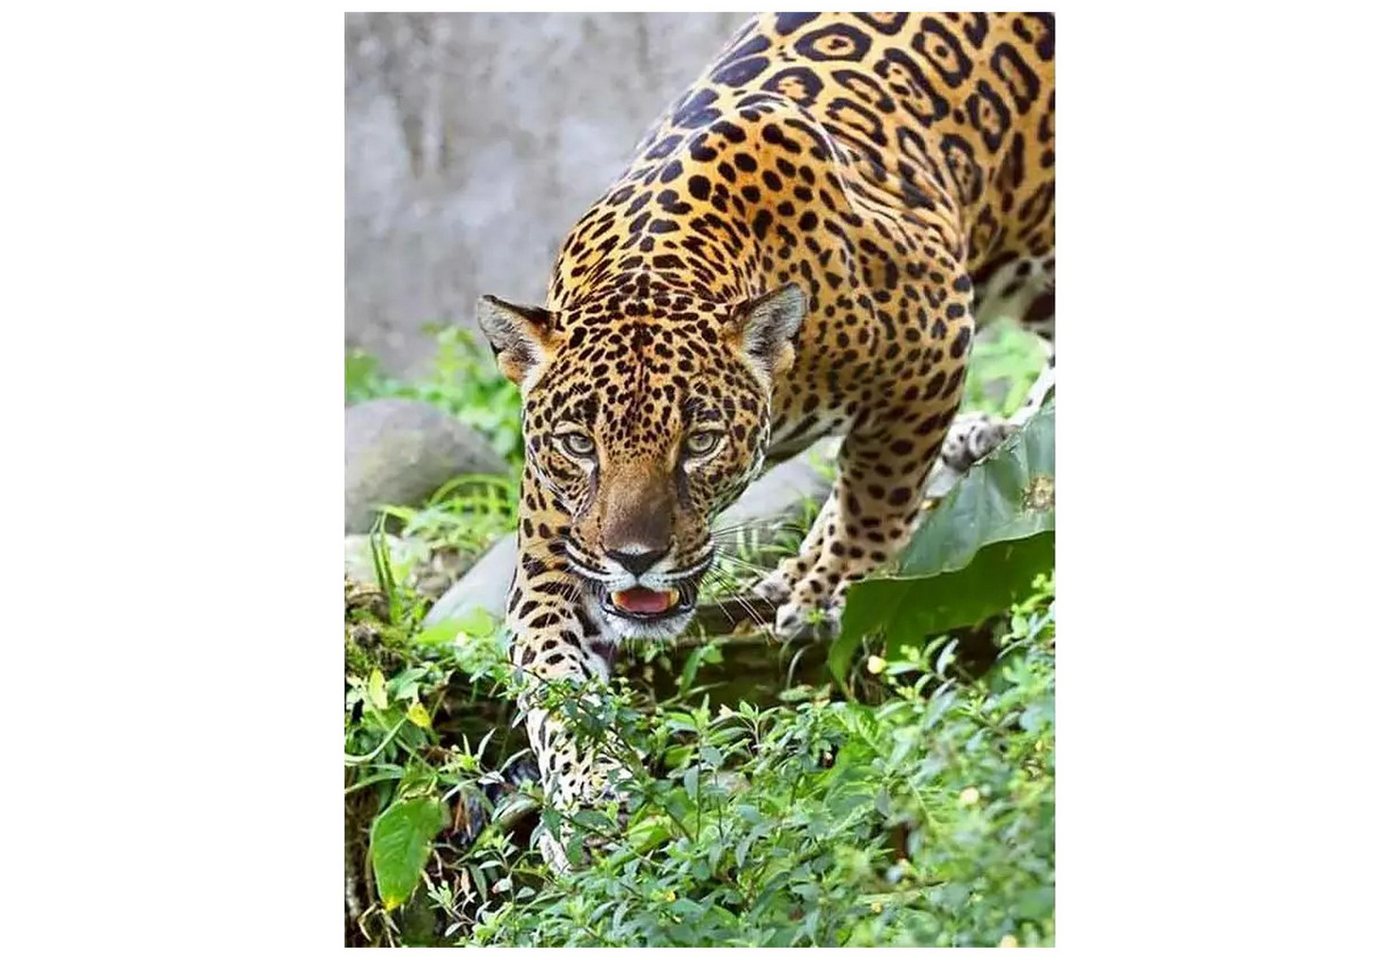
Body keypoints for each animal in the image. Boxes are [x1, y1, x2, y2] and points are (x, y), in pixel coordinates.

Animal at [476, 11, 1055, 871]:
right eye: (579, 444)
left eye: (700, 440)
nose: (636, 558)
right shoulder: (557, 547)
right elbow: (553, 675)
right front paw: (587, 798)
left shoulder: (935, 334)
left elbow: (877, 487)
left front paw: (822, 588)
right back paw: (1000, 435)